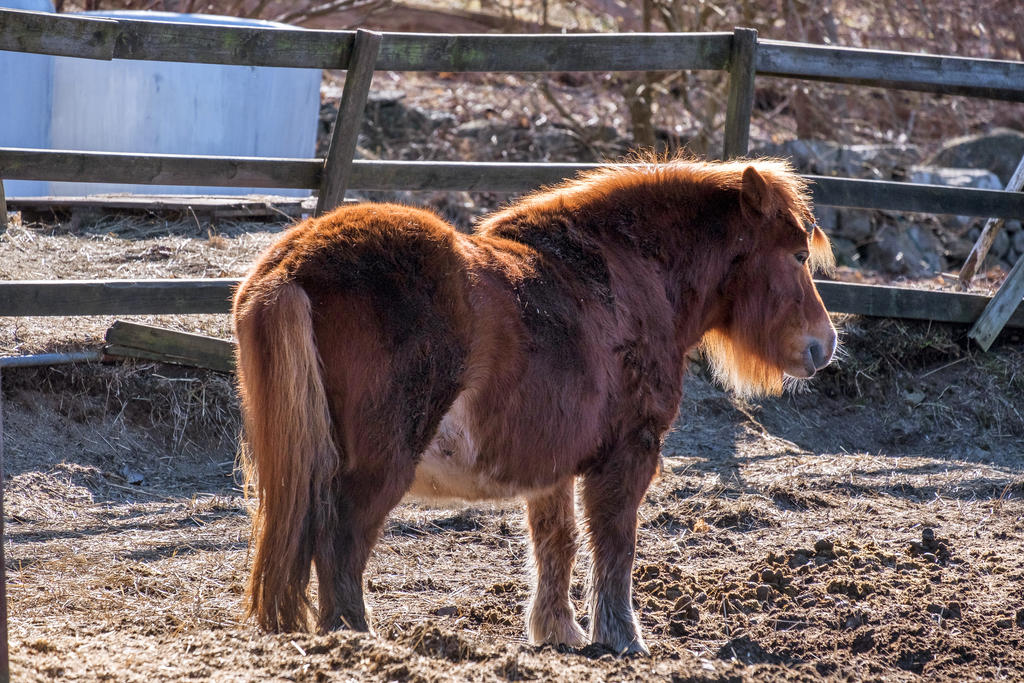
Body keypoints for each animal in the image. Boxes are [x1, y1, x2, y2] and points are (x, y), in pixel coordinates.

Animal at [235, 157, 835, 655]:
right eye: (798, 255)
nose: (824, 346)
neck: (626, 278)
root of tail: (292, 267)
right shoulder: (629, 451)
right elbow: (615, 542)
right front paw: (622, 638)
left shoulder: (553, 467)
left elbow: (558, 543)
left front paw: (558, 631)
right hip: (378, 468)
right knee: (342, 542)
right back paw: (356, 637)